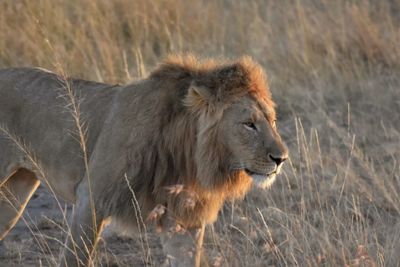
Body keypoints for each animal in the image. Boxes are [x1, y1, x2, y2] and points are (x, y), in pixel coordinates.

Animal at [0, 55, 288, 267]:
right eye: (249, 124)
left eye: (273, 121)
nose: (281, 159)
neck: (186, 151)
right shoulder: (90, 199)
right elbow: (75, 258)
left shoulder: (183, 220)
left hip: (16, 192)